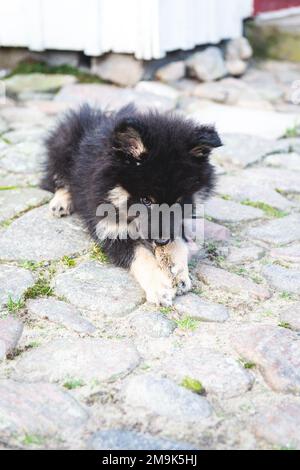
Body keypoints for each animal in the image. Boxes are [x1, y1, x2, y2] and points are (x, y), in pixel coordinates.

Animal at [41, 104, 220, 306]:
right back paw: (61, 202)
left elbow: (179, 241)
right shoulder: (110, 229)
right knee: (58, 177)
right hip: (62, 146)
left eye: (179, 201)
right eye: (146, 200)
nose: (161, 240)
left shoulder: (176, 223)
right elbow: (141, 256)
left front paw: (179, 272)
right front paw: (159, 287)